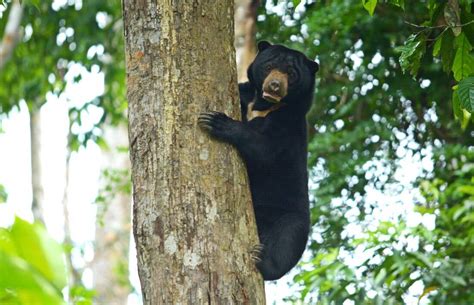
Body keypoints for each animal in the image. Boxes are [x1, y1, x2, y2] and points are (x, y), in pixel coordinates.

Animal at [198, 41, 320, 280]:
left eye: (291, 74)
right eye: (269, 66)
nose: (274, 86)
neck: (263, 105)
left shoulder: (289, 123)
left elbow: (265, 150)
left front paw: (216, 121)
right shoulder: (246, 94)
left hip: (291, 217)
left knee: (288, 242)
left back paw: (262, 261)